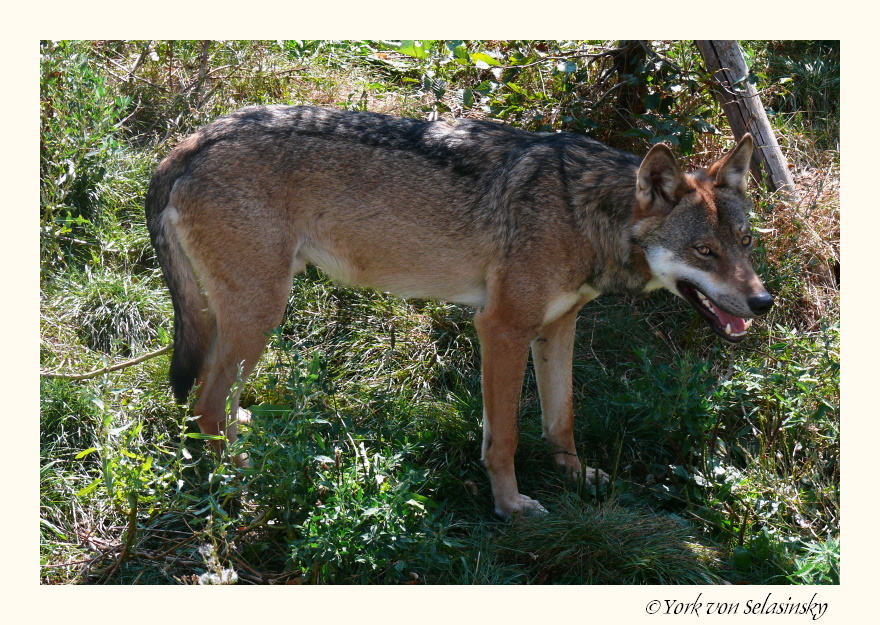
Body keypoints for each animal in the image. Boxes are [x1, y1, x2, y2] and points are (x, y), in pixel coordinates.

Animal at [148, 106, 772, 516]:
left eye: (744, 242)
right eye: (705, 252)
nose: (763, 302)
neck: (584, 213)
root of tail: (189, 142)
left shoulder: (557, 327)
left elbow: (560, 418)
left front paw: (575, 477)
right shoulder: (501, 329)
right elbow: (506, 438)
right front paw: (512, 506)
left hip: (246, 317)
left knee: (211, 402)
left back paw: (242, 441)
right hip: (262, 313)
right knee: (203, 406)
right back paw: (238, 480)